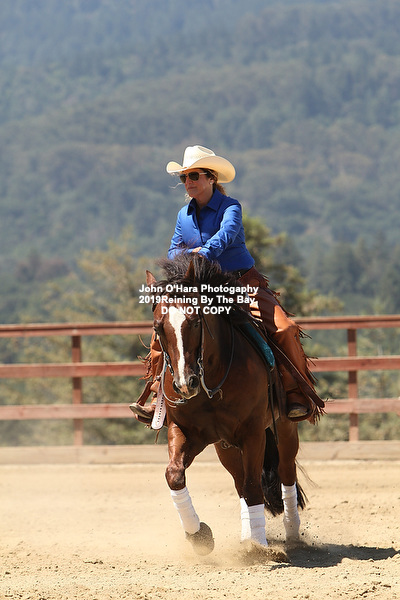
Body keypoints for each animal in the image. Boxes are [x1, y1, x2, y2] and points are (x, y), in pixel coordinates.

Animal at [145, 253, 306, 556]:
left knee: (285, 472)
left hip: (284, 429)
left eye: (195, 321)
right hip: (226, 446)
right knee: (240, 482)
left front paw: (258, 545)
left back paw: (291, 532)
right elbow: (174, 474)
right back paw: (246, 534)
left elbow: (254, 486)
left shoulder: (253, 433)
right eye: (158, 328)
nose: (185, 383)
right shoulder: (185, 430)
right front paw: (199, 535)